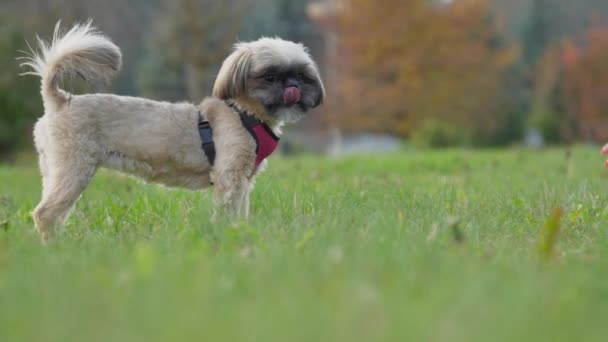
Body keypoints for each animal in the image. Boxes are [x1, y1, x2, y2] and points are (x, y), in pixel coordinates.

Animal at [21, 21, 326, 240]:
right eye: (270, 76)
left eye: (301, 75)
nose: (292, 86)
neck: (243, 114)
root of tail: (60, 100)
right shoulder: (229, 177)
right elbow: (226, 211)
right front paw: (226, 234)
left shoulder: (244, 181)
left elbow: (241, 212)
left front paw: (241, 231)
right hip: (75, 168)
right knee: (45, 213)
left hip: (53, 171)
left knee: (55, 212)